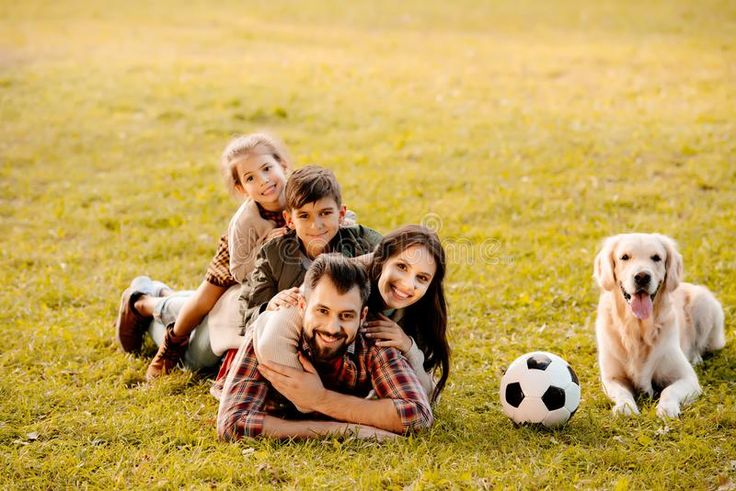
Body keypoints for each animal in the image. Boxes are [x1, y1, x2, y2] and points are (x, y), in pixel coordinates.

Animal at [592, 234, 724, 418]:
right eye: (624, 257)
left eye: (656, 257)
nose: (642, 276)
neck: (638, 329)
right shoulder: (611, 378)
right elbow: (621, 392)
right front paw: (625, 407)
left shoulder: (687, 377)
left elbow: (669, 391)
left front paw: (667, 408)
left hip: (703, 302)